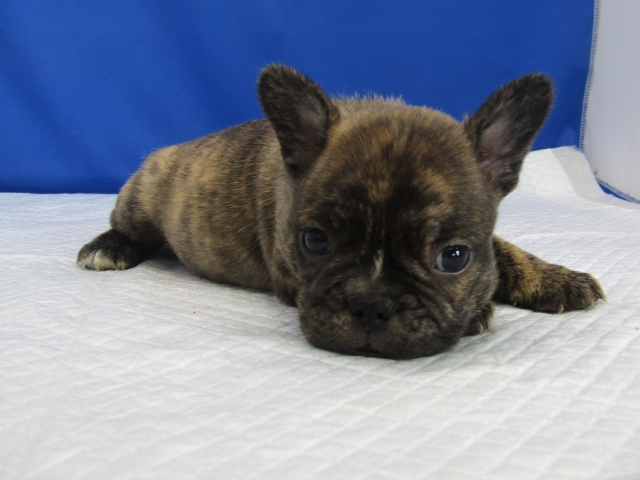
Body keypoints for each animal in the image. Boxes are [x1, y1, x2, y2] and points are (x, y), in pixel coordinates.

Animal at [78, 64, 604, 359]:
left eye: (453, 258)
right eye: (314, 241)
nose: (371, 304)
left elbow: (504, 249)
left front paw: (552, 277)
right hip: (145, 189)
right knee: (129, 225)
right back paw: (108, 247)